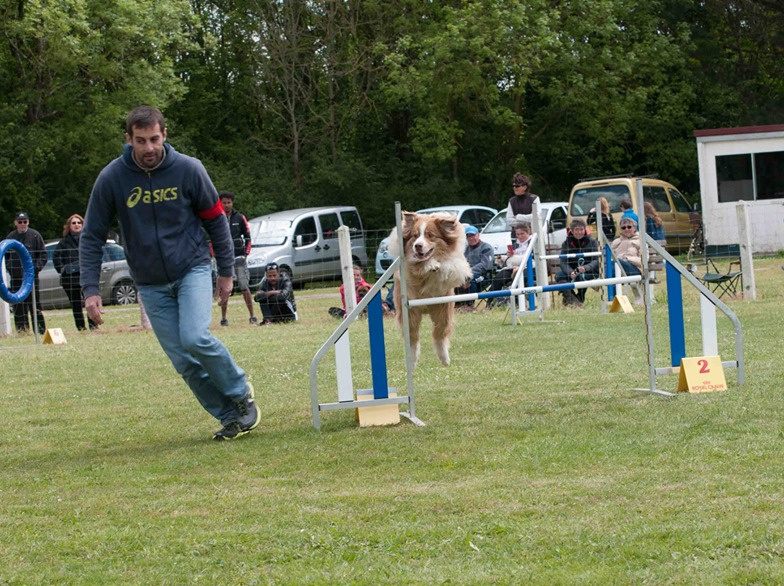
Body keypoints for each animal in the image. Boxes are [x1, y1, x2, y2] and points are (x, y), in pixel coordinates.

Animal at [388, 210, 472, 364]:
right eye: (415, 236)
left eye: (430, 235)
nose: (417, 246)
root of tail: (425, 309)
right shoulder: (408, 269)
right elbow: (417, 266)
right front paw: (430, 265)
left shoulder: (455, 268)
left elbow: (448, 265)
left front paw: (437, 266)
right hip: (410, 312)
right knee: (413, 337)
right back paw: (412, 359)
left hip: (443, 309)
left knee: (440, 332)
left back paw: (445, 359)